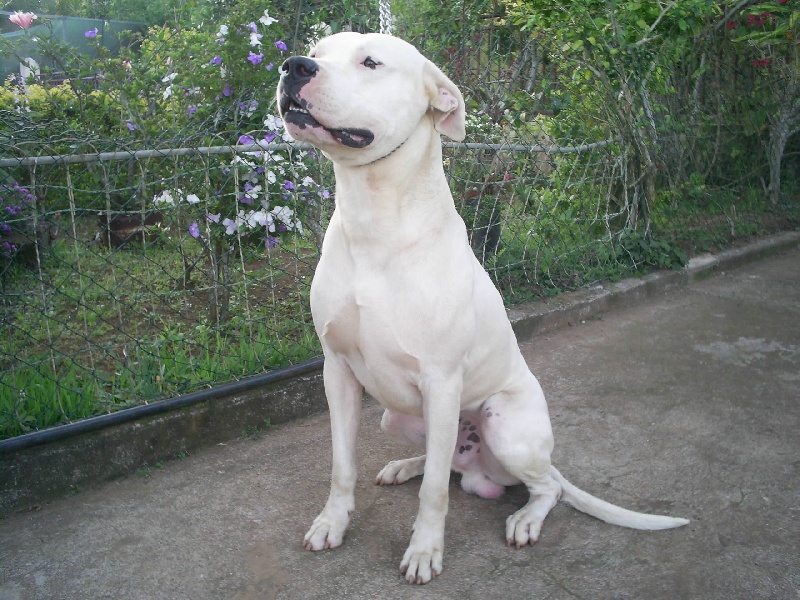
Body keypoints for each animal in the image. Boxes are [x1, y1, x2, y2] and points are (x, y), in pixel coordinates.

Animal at [276, 31, 688, 580]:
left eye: (371, 62)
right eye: (318, 52)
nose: (294, 67)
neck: (375, 222)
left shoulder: (441, 378)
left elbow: (434, 493)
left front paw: (424, 550)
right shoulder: (337, 369)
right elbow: (343, 466)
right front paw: (332, 524)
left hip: (502, 422)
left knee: (541, 486)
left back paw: (526, 518)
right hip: (395, 417)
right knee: (443, 461)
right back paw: (406, 466)